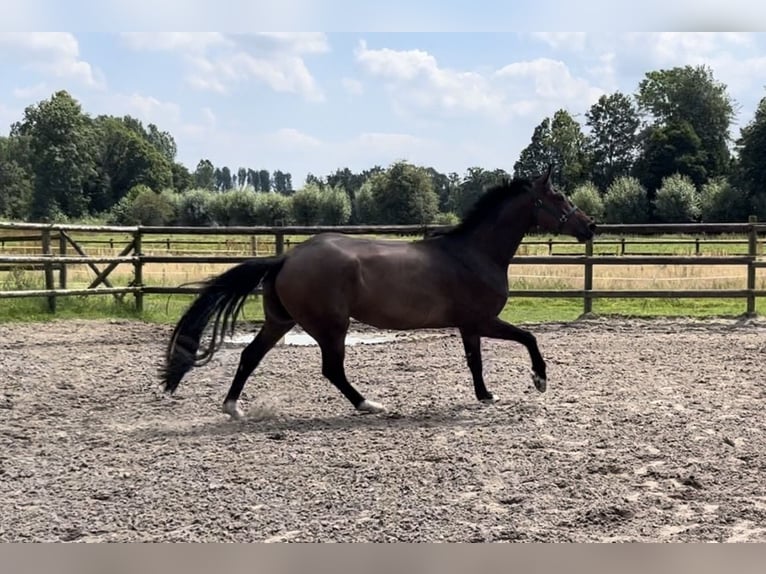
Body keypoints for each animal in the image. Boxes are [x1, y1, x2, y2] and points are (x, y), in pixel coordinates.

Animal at [160, 164, 592, 420]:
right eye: (558, 197)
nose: (591, 227)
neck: (474, 253)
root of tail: (286, 258)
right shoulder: (482, 320)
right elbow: (526, 338)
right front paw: (537, 380)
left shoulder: (469, 326)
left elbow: (476, 362)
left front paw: (486, 395)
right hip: (331, 326)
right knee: (332, 369)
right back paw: (369, 404)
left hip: (281, 321)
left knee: (251, 355)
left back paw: (233, 408)